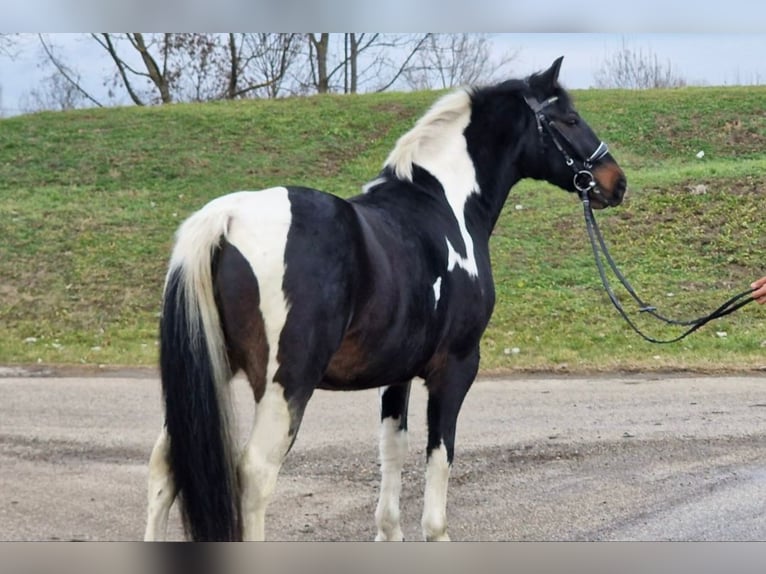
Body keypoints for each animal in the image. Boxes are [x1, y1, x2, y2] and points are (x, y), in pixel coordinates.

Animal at [141, 56, 628, 544]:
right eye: (570, 118)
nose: (616, 182)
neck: (444, 207)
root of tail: (226, 217)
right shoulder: (455, 368)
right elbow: (440, 453)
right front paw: (436, 533)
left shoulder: (398, 373)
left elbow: (392, 448)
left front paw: (389, 532)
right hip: (286, 387)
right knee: (256, 474)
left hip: (211, 372)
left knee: (164, 467)